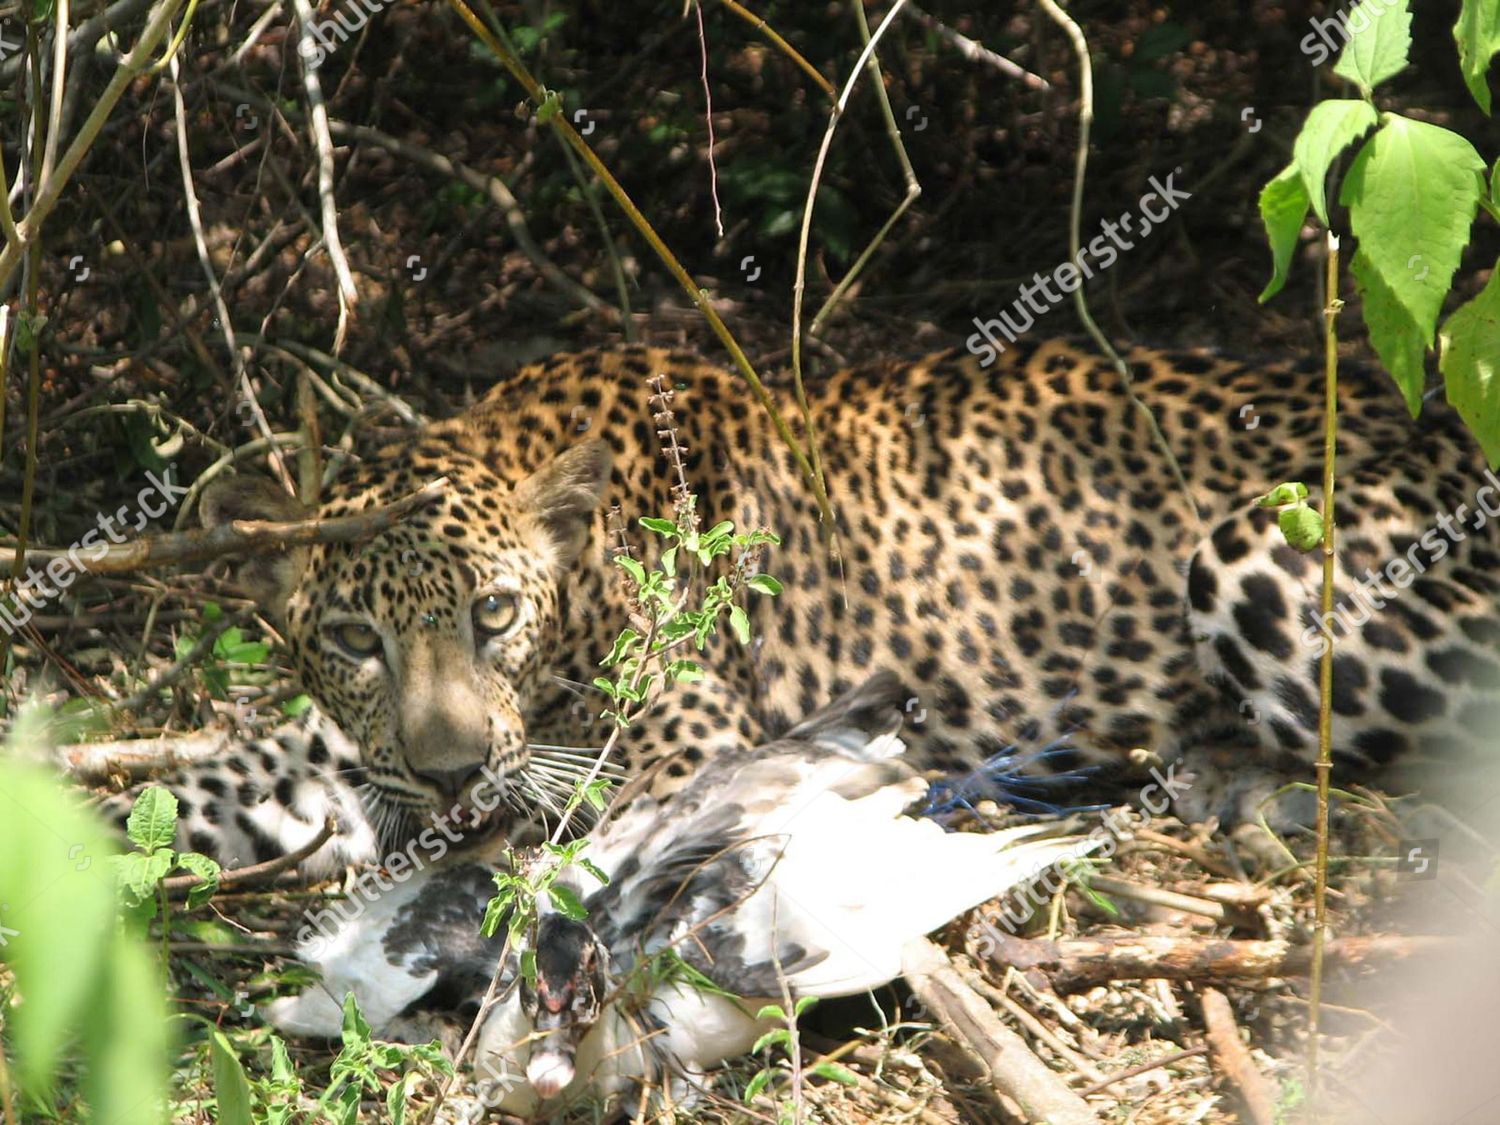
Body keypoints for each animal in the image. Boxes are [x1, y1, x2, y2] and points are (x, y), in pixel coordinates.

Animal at [117, 339, 1500, 876]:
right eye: (356, 639)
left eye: (496, 615)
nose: (453, 777)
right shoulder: (343, 747)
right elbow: (205, 784)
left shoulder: (684, 747)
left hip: (1262, 544)